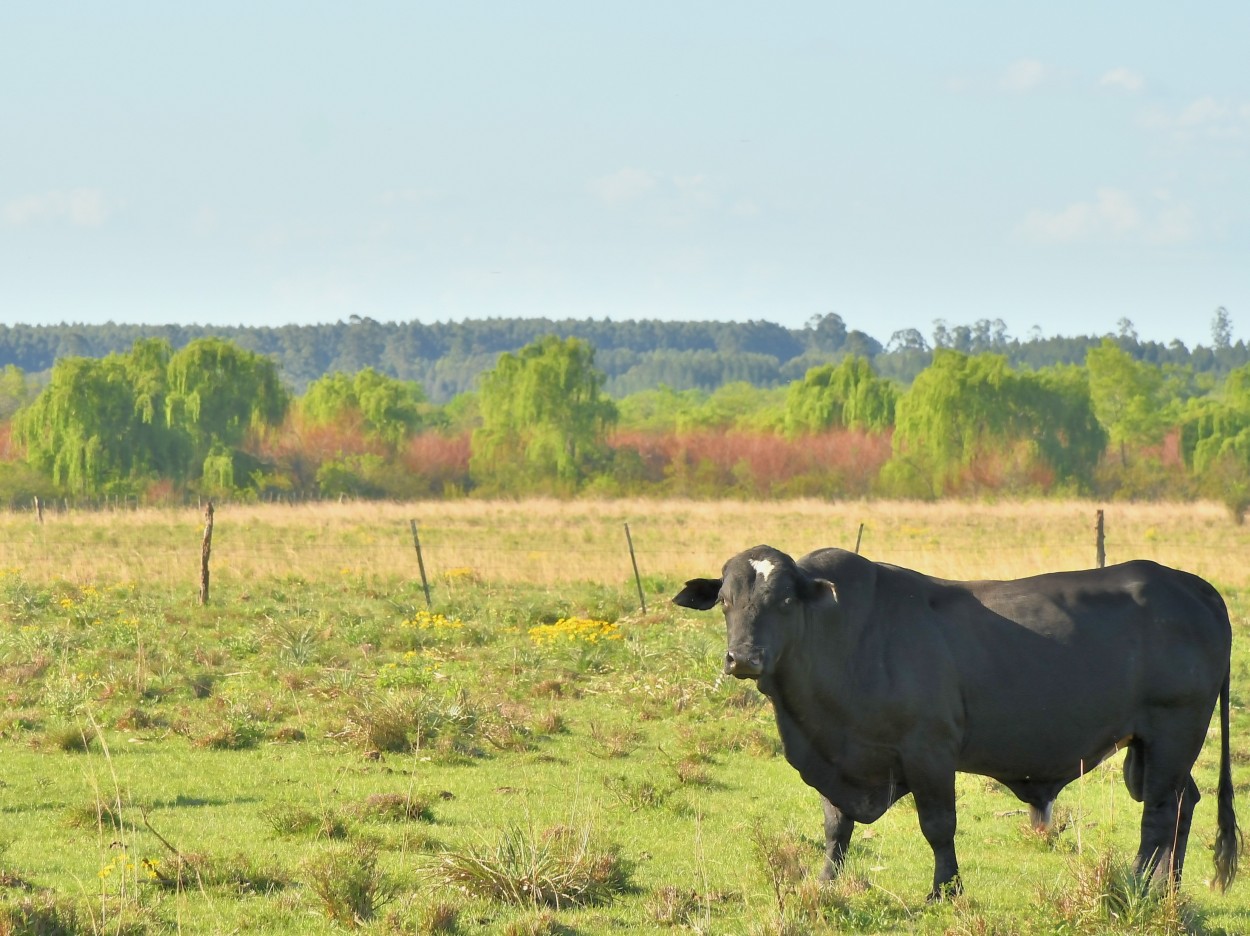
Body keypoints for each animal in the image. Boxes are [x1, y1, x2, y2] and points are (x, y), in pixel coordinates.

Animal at [675, 547, 1240, 899]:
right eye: (726, 601)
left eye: (786, 600)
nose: (743, 658)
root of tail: (1190, 584)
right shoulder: (836, 751)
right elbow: (836, 827)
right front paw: (825, 884)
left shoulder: (929, 751)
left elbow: (938, 826)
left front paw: (944, 890)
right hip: (1157, 745)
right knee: (1184, 803)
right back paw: (1168, 888)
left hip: (1174, 731)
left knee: (1159, 816)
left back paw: (1138, 884)